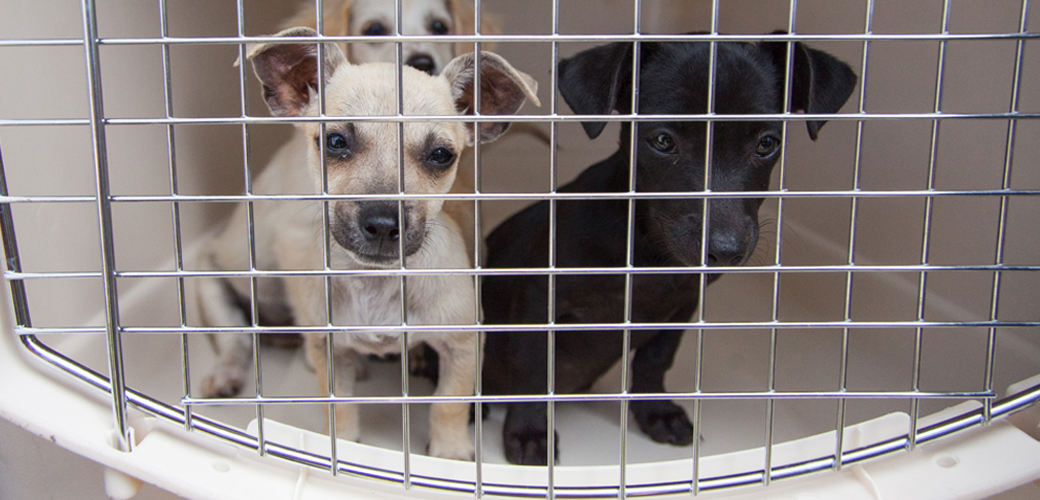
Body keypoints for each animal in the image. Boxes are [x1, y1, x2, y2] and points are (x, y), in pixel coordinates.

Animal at [195, 25, 540, 457]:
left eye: (441, 155)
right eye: (335, 142)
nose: (381, 223)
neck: (376, 282)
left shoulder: (462, 345)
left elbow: (449, 404)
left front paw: (449, 452)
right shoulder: (329, 351)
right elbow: (339, 406)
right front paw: (342, 447)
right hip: (217, 283)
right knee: (236, 340)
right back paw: (227, 372)